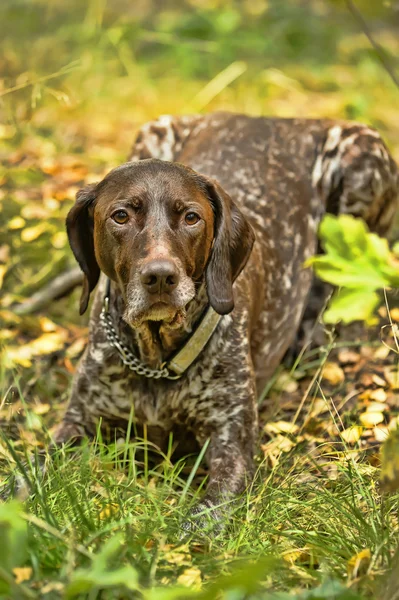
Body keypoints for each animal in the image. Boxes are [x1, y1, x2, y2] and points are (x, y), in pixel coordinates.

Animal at [54, 111, 398, 520]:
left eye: (191, 217)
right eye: (120, 216)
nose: (160, 277)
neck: (156, 359)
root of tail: (273, 119)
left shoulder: (230, 446)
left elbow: (200, 521)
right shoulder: (77, 422)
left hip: (362, 160)